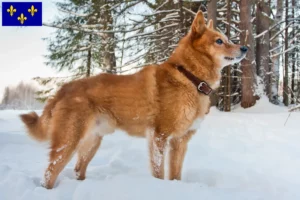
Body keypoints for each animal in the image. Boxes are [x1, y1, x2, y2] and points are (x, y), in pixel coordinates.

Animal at [19, 11, 247, 189]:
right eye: (219, 41)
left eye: (227, 38)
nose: (245, 48)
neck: (189, 77)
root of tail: (63, 89)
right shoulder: (159, 136)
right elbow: (159, 173)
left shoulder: (180, 141)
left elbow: (176, 175)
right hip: (68, 141)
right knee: (49, 173)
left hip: (92, 142)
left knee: (77, 170)